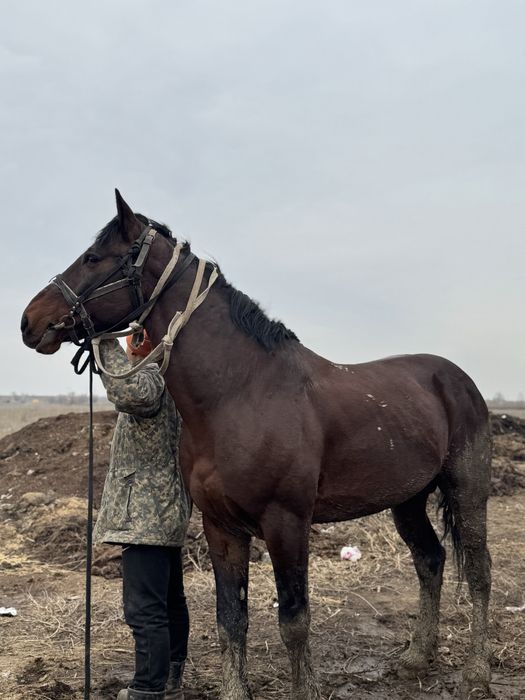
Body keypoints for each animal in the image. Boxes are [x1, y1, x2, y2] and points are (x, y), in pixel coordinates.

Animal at [21, 191, 492, 700]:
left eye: (93, 257)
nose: (29, 321)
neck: (241, 393)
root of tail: (457, 379)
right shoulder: (222, 528)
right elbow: (231, 620)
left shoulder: (287, 524)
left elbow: (294, 622)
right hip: (407, 499)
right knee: (430, 561)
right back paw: (416, 658)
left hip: (467, 491)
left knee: (479, 571)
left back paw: (478, 672)